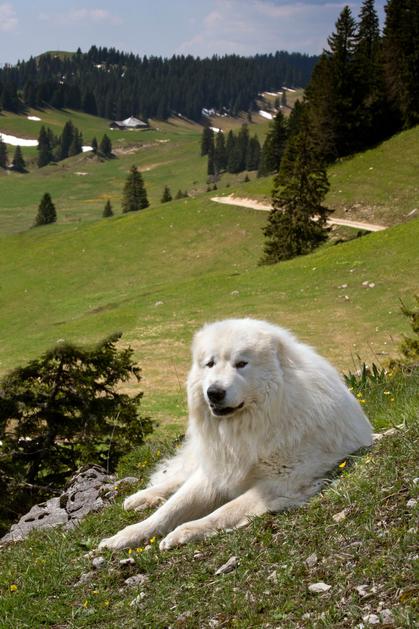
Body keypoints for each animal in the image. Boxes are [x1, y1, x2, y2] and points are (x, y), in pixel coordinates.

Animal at [99, 318, 372, 551]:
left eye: (241, 364)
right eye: (210, 364)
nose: (214, 392)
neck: (247, 426)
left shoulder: (282, 480)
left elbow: (226, 510)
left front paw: (185, 531)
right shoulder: (217, 471)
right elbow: (171, 509)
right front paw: (126, 535)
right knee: (178, 479)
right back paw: (141, 498)